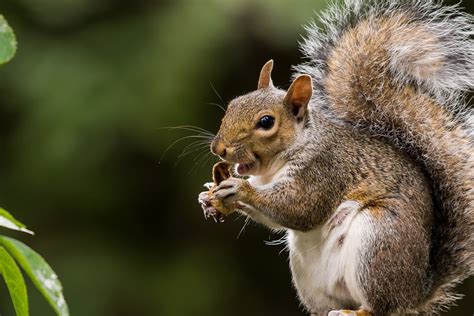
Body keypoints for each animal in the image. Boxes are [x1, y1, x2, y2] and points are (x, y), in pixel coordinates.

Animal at [197, 1, 474, 314]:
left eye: (266, 122)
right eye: (233, 104)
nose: (218, 149)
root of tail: (414, 294)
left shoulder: (325, 169)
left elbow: (299, 208)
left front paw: (240, 189)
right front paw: (209, 196)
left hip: (378, 242)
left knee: (378, 306)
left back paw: (357, 311)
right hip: (310, 277)